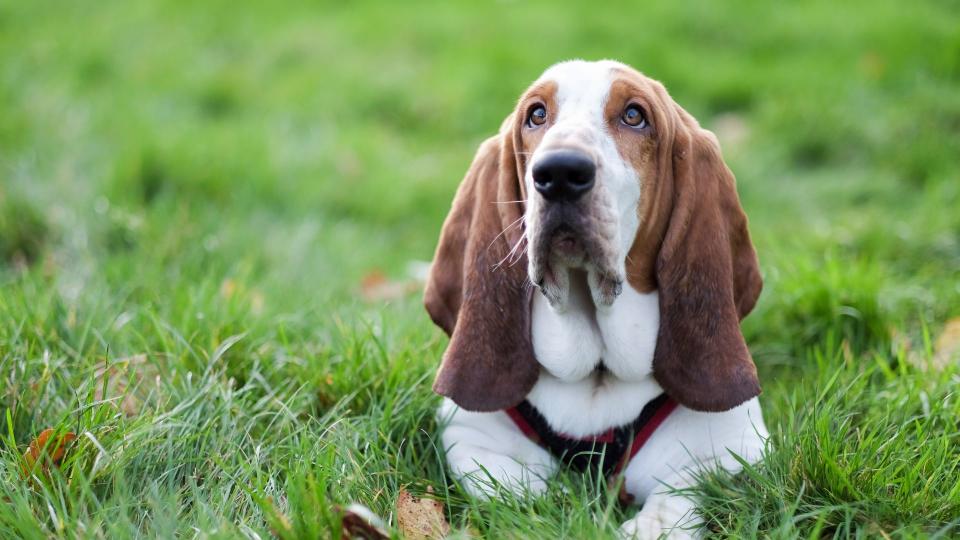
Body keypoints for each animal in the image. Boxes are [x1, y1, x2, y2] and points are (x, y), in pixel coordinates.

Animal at [424, 61, 768, 536]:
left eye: (634, 115)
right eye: (536, 114)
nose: (560, 173)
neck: (597, 376)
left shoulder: (738, 445)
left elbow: (684, 494)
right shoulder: (469, 436)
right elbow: (514, 492)